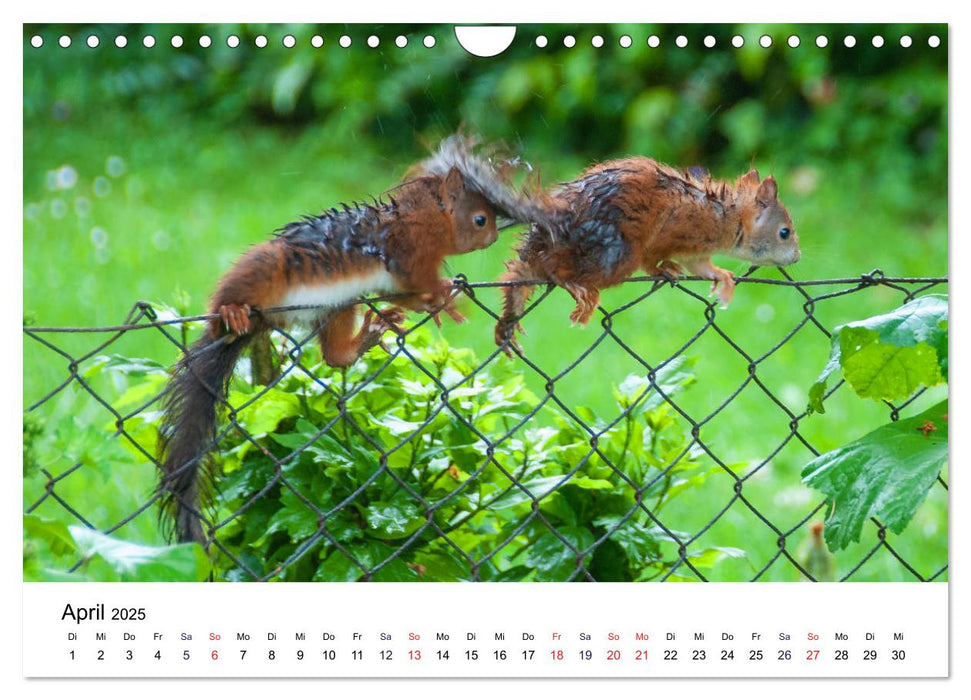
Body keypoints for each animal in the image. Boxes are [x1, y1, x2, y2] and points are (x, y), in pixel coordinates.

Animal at [498, 161, 800, 352]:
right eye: (784, 232)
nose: (797, 258)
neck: (728, 216)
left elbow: (700, 267)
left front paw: (722, 277)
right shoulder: (682, 234)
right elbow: (668, 261)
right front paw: (671, 269)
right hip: (613, 252)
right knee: (552, 266)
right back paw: (572, 283)